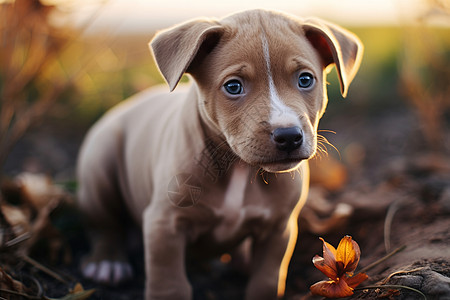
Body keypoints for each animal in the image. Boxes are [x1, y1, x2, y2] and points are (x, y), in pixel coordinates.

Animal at [76, 9, 362, 300]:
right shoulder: (164, 223)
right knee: (103, 225)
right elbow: (169, 282)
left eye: (305, 79)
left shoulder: (279, 228)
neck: (239, 166)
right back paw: (107, 262)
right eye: (233, 86)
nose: (289, 136)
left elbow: (266, 279)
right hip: (99, 166)